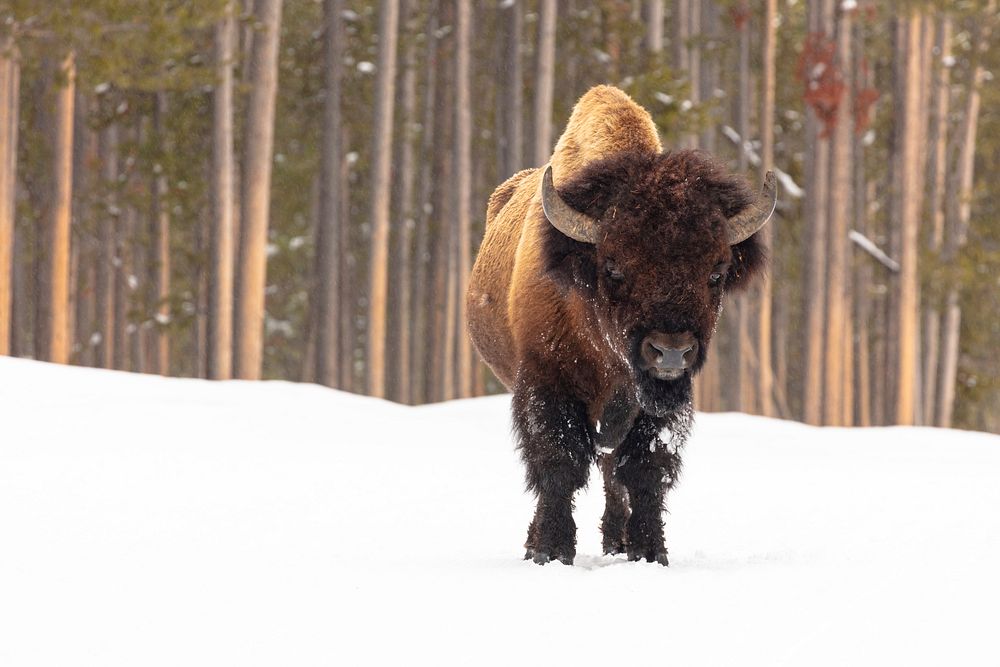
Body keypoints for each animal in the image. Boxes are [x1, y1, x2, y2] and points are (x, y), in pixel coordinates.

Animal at [464, 82, 776, 564]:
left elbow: (645, 470)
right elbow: (558, 463)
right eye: (613, 267)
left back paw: (616, 542)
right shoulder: (545, 381)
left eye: (717, 271)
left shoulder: (659, 405)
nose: (671, 351)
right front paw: (550, 550)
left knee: (613, 472)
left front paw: (649, 553)